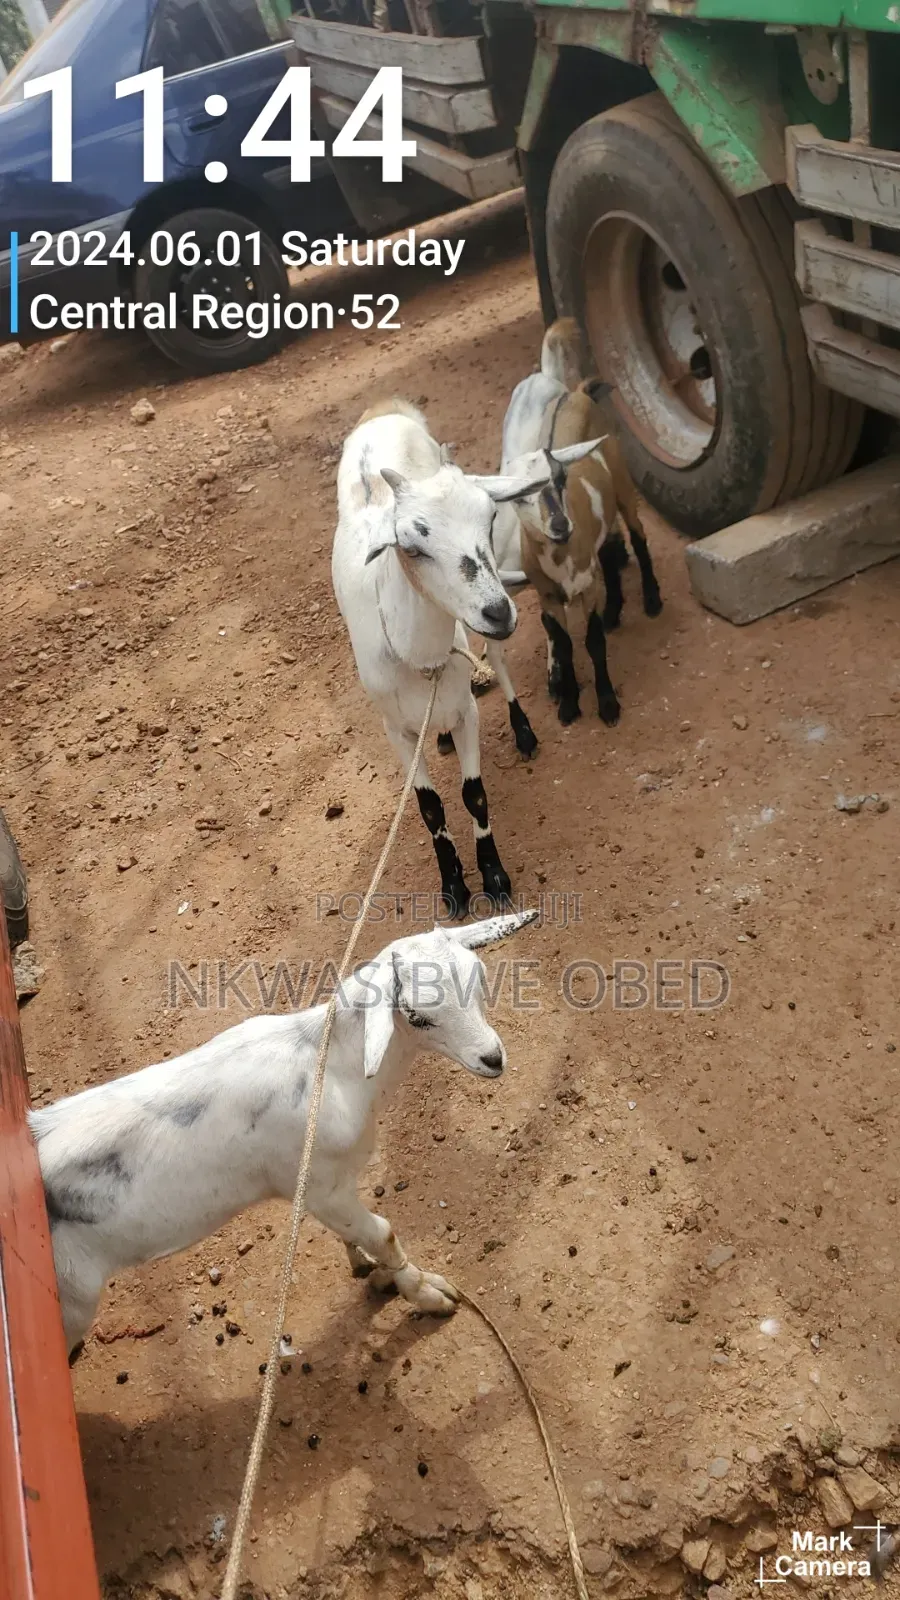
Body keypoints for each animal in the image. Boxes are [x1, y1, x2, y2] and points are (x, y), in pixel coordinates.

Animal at [32, 910, 538, 1356]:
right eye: (415, 1016)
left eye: (480, 977)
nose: (492, 1058)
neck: (331, 1065)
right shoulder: (320, 1189)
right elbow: (385, 1233)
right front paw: (429, 1294)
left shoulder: (326, 1187)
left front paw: (368, 1269)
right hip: (73, 1305)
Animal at [332, 399, 598, 916]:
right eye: (410, 545)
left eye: (491, 518)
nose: (497, 611)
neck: (420, 658)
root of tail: (383, 408)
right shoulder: (395, 731)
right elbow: (429, 806)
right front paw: (453, 885)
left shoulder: (465, 710)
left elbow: (473, 794)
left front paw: (493, 876)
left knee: (497, 657)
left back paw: (522, 728)